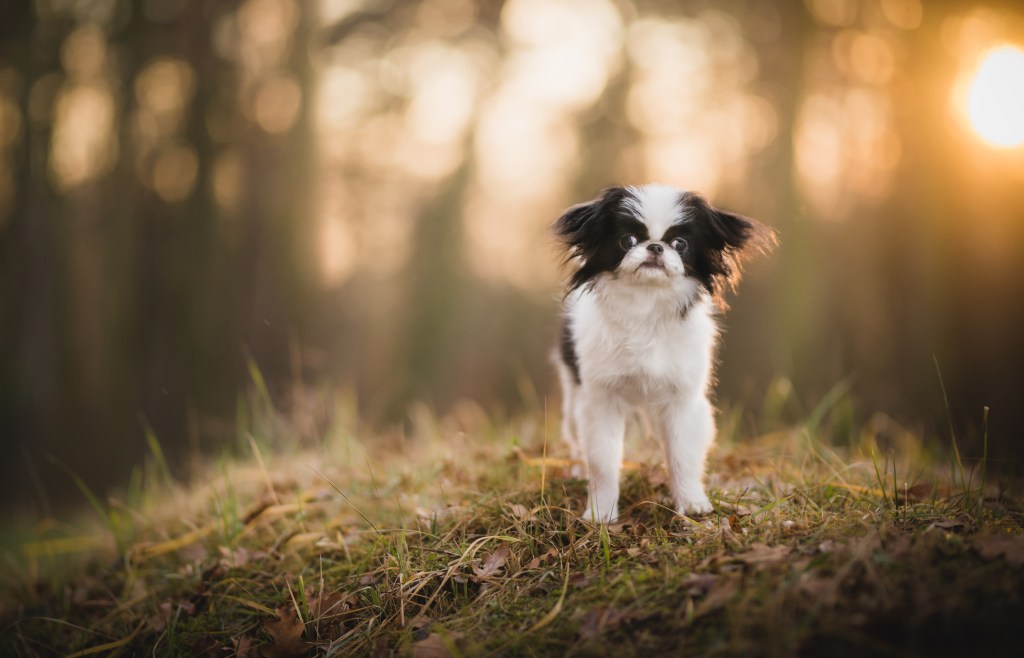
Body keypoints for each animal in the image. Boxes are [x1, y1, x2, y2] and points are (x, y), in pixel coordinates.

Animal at [557, 185, 770, 523]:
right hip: (573, 397)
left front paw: (691, 503)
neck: (647, 306)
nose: (655, 247)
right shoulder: (601, 401)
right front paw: (601, 513)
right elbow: (603, 462)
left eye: (680, 244)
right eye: (628, 240)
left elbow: (683, 455)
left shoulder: (681, 401)